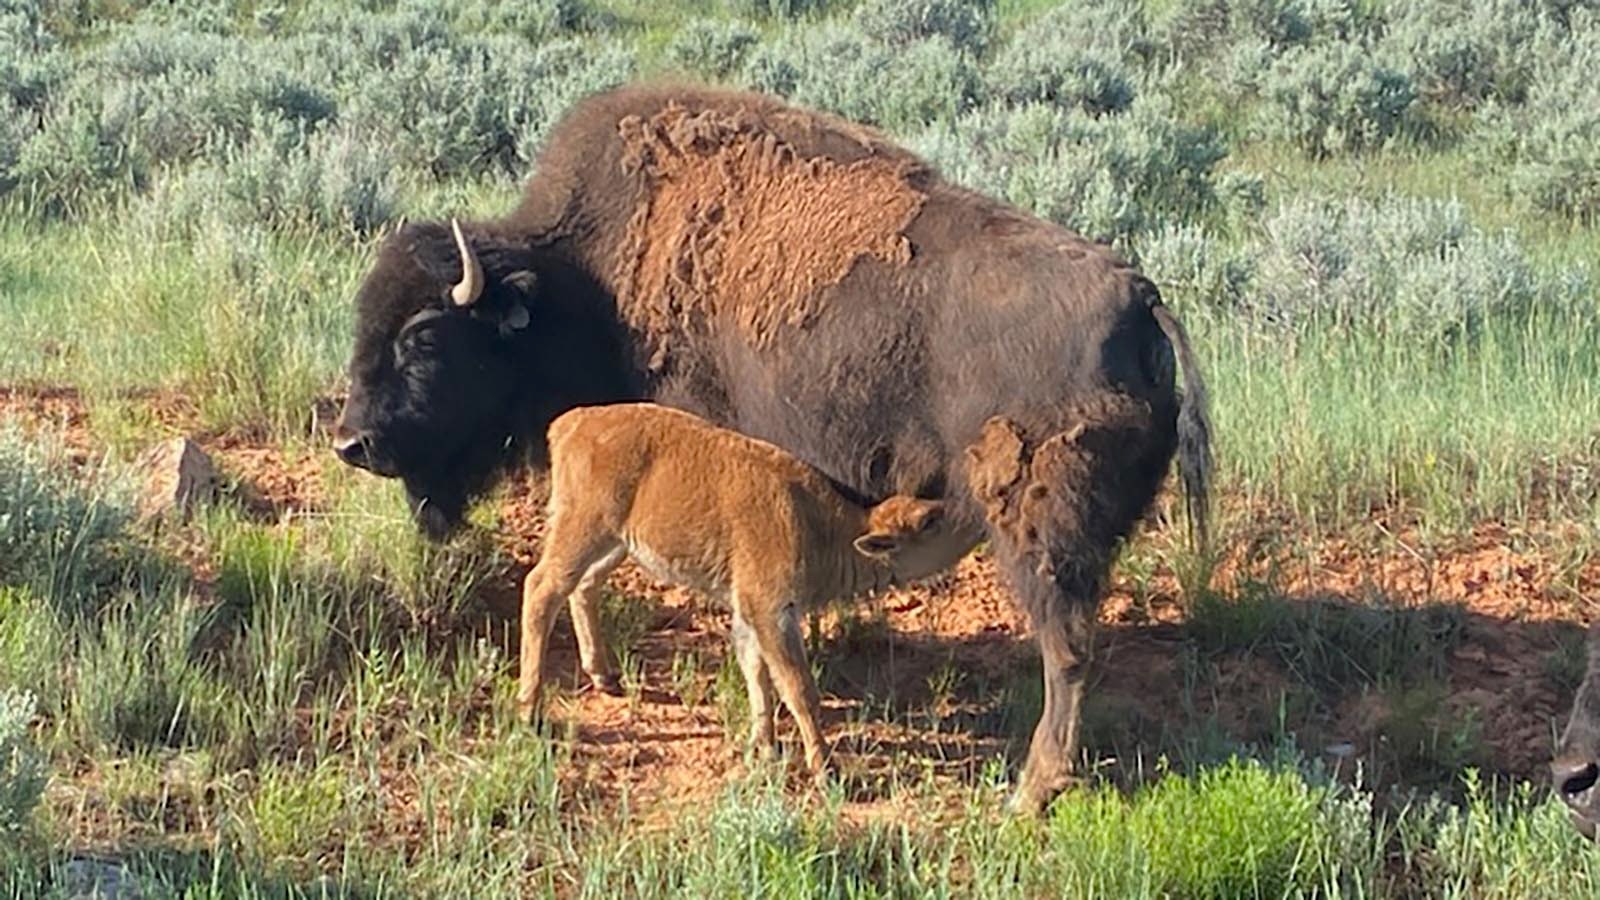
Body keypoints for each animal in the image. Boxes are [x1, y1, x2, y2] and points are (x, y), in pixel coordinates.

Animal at [521, 403, 947, 768]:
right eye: (926, 525)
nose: (942, 509)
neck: (822, 527)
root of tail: (572, 421)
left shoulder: (751, 613)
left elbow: (757, 673)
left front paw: (764, 746)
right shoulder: (771, 610)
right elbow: (797, 686)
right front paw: (823, 766)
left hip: (617, 543)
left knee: (583, 588)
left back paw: (604, 677)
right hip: (582, 530)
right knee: (541, 589)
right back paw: (530, 711)